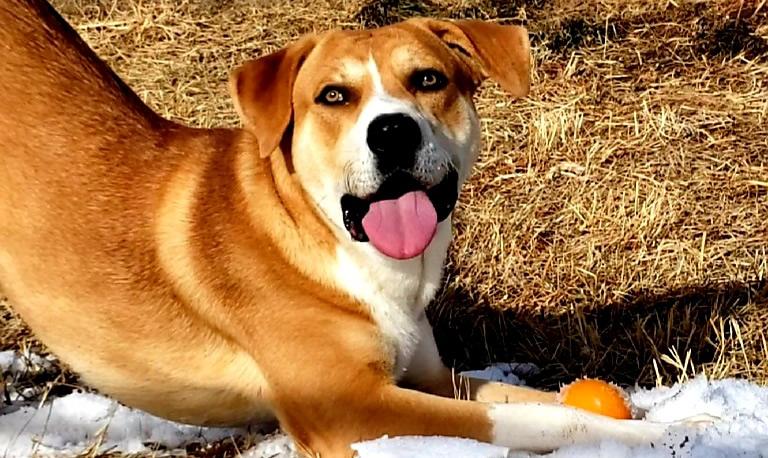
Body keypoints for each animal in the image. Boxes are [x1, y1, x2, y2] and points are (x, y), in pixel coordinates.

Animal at [0, 0, 696, 456]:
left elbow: (533, 400)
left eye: (429, 79)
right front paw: (649, 433)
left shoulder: (427, 377)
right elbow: (535, 424)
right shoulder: (348, 407)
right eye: (333, 95)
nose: (392, 131)